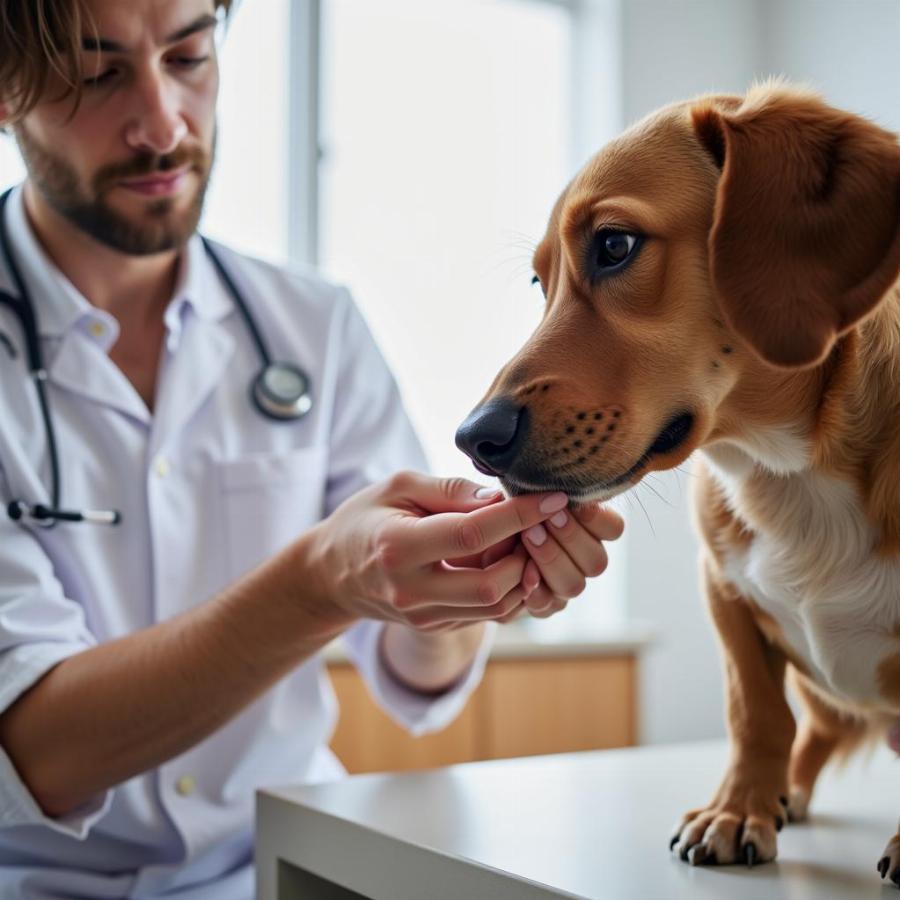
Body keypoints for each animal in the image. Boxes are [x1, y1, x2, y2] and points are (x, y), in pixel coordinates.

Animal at [454, 81, 900, 884]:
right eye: (540, 279)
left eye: (615, 246)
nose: (474, 440)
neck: (787, 468)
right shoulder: (724, 594)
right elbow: (756, 713)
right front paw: (739, 809)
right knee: (812, 729)